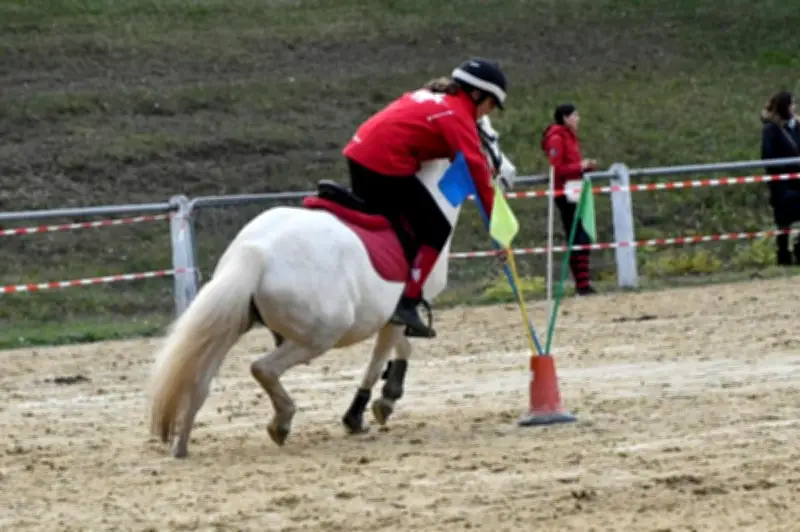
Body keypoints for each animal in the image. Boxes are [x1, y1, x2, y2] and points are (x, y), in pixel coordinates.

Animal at [147, 113, 517, 458]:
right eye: (492, 137)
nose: (511, 175)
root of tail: (256, 252)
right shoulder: (400, 313)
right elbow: (381, 359)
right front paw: (369, 409)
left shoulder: (391, 316)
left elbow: (399, 351)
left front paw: (384, 397)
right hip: (318, 337)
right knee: (262, 368)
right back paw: (282, 421)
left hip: (232, 324)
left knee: (198, 382)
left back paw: (181, 445)